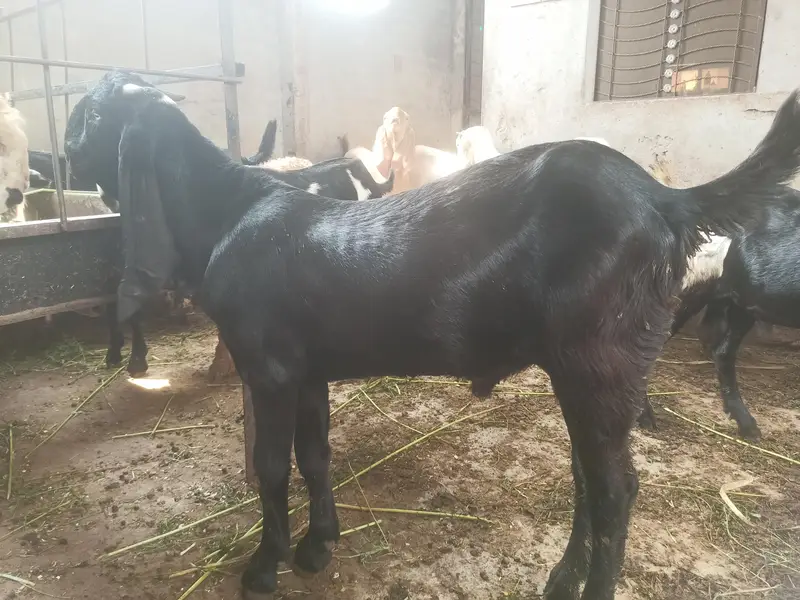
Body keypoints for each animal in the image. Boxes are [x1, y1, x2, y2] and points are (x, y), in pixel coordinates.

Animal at [65, 70, 800, 600]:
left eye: (93, 116)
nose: (67, 158)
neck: (229, 213)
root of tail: (665, 200)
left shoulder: (268, 368)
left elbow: (273, 468)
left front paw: (264, 566)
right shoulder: (307, 370)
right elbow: (316, 456)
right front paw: (318, 546)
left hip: (602, 360)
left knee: (616, 491)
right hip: (586, 373)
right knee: (588, 478)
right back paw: (561, 580)